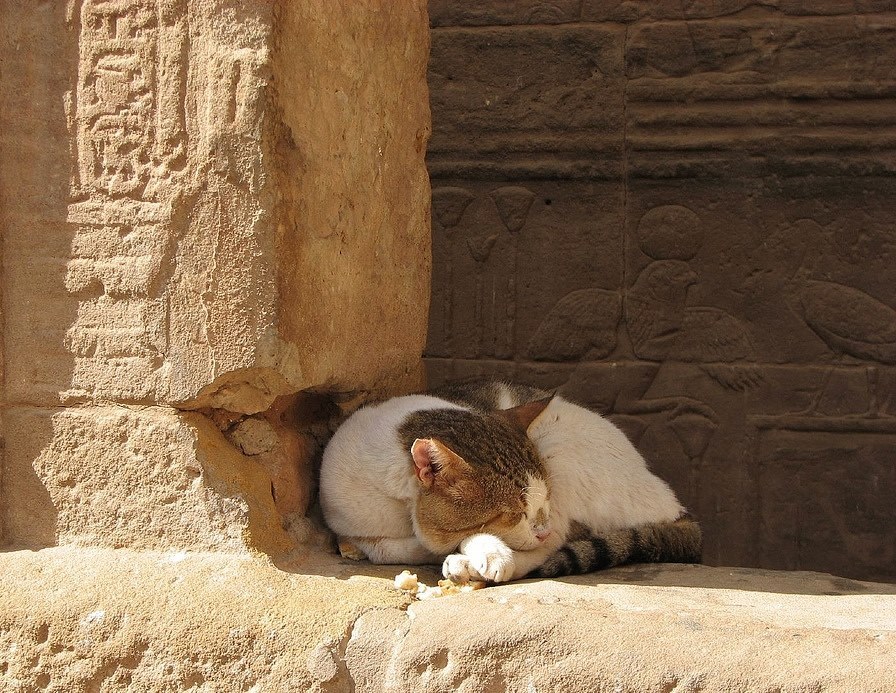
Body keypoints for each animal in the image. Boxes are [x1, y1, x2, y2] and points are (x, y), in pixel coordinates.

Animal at [318, 382, 704, 580]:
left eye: (543, 500)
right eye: (513, 513)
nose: (540, 527)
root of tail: (671, 502)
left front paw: (474, 551)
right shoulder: (349, 520)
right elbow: (379, 547)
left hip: (562, 450)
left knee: (554, 545)